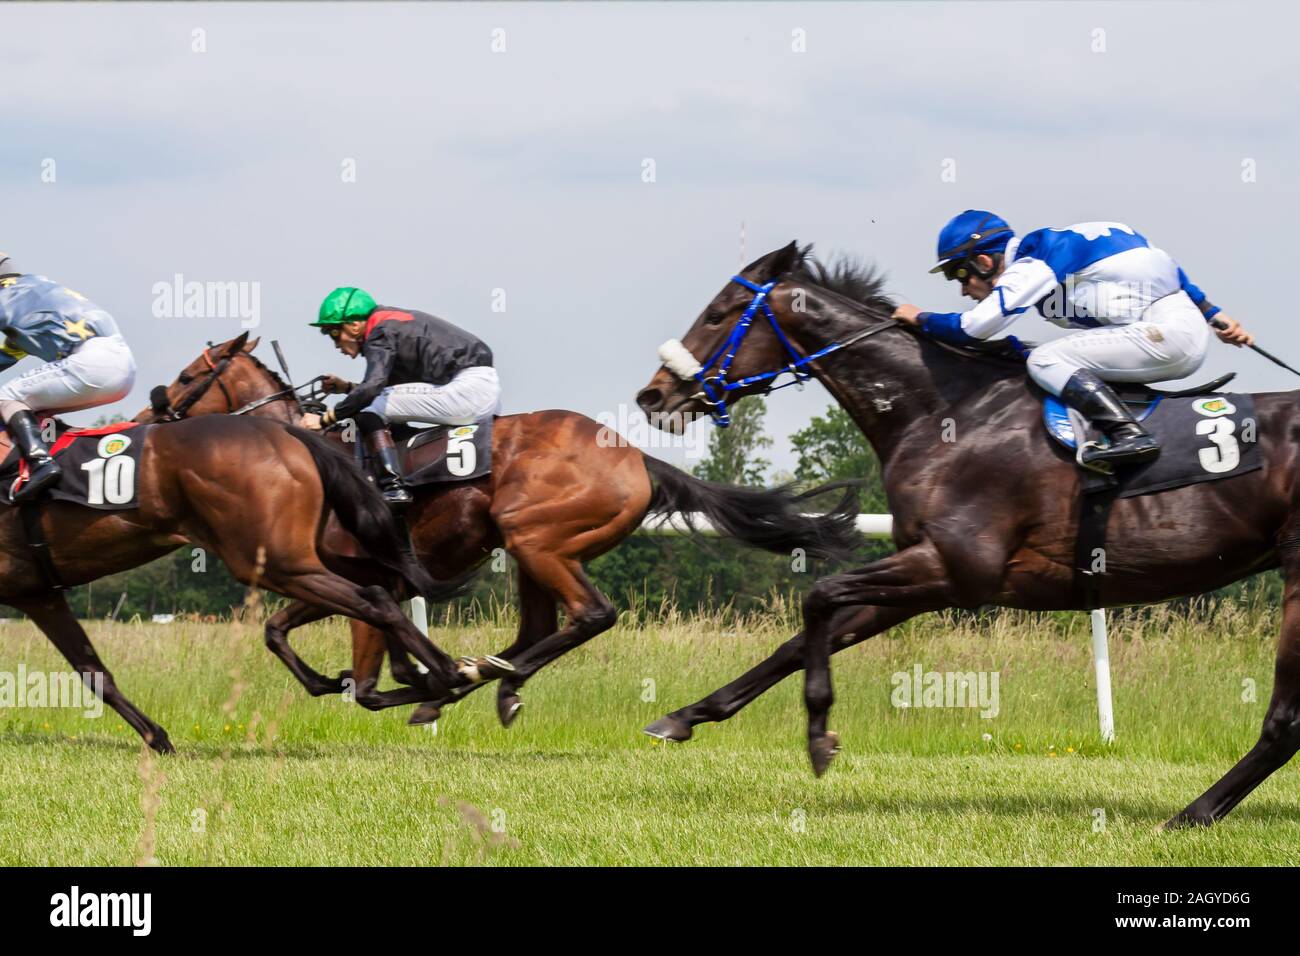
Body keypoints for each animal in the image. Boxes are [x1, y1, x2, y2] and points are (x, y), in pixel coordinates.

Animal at [0, 406, 495, 753]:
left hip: (272, 560)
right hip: (302, 554)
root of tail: (285, 434)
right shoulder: (39, 594)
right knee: (384, 583)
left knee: (374, 597)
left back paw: (446, 673)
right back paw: (414, 677)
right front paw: (157, 737)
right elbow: (93, 673)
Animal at [137, 333, 865, 726]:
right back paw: (485, 679)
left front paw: (418, 680)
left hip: (536, 540)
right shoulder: (337, 579)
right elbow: (280, 631)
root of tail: (635, 456)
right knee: (539, 629)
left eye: (189, 375)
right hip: (531, 553)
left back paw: (489, 680)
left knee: (590, 615)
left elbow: (369, 681)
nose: (150, 412)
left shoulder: (364, 581)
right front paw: (377, 680)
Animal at [635, 240, 1300, 829]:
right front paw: (684, 716)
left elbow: (817, 597)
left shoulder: (958, 568)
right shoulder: (930, 572)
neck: (950, 413)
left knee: (1285, 721)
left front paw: (819, 736)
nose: (653, 395)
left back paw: (1192, 814)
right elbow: (800, 641)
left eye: (718, 313)